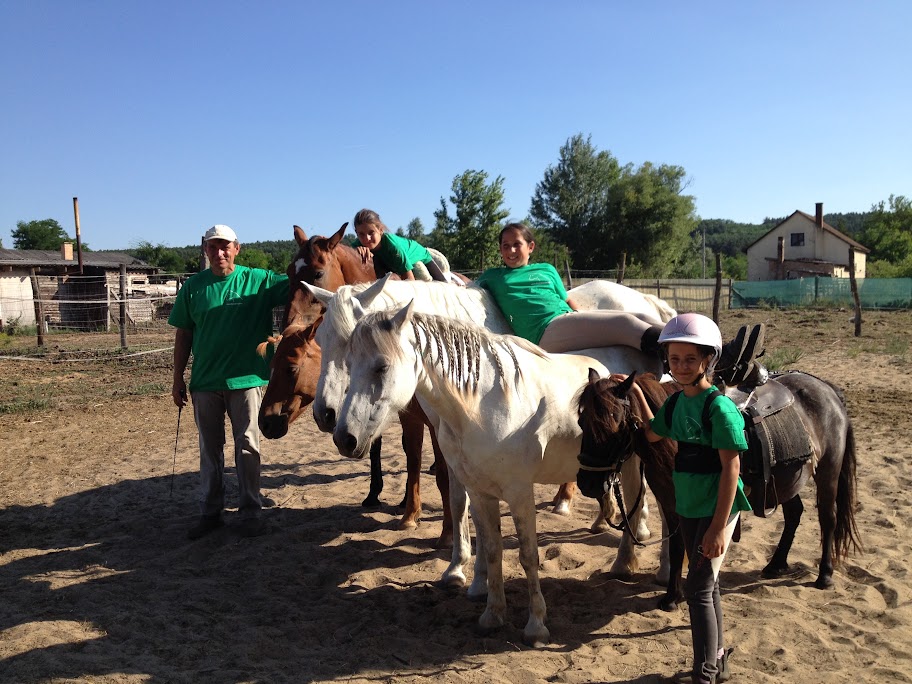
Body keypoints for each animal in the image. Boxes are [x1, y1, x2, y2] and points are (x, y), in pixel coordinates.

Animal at [334, 304, 640, 648]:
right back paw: (604, 527)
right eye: (348, 364)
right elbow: (492, 551)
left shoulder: (520, 494)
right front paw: (492, 615)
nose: (344, 438)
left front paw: (536, 625)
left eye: (382, 366)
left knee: (636, 509)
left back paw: (624, 564)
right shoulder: (481, 493)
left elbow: (528, 555)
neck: (482, 407)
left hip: (631, 466)